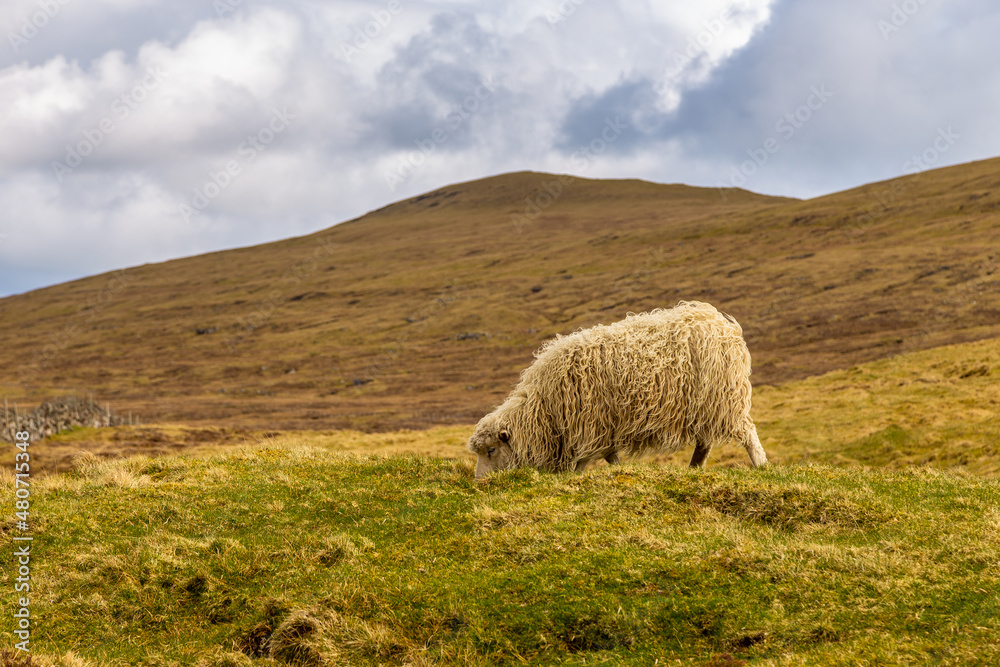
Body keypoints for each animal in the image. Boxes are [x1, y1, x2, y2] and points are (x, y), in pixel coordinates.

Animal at [467, 301, 768, 480]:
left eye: (491, 450)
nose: (479, 482)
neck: (543, 408)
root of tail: (722, 323)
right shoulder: (602, 427)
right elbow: (609, 456)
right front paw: (619, 470)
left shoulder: (588, 425)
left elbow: (585, 459)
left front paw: (576, 476)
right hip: (705, 404)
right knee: (705, 443)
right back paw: (693, 469)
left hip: (725, 397)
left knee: (747, 432)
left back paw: (761, 465)